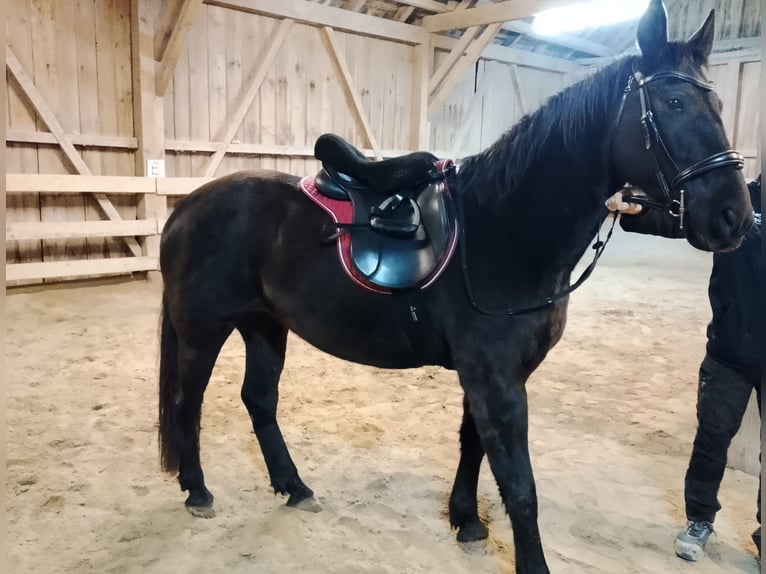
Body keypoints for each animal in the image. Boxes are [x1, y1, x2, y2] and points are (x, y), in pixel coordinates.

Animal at [156, 1, 752, 572]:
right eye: (674, 103)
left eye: (719, 106)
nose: (734, 217)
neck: (503, 228)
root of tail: (187, 206)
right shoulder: (496, 380)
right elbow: (520, 485)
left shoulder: (494, 375)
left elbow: (473, 446)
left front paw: (465, 520)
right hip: (205, 328)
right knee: (189, 399)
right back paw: (198, 491)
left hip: (263, 325)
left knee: (258, 399)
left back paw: (294, 487)